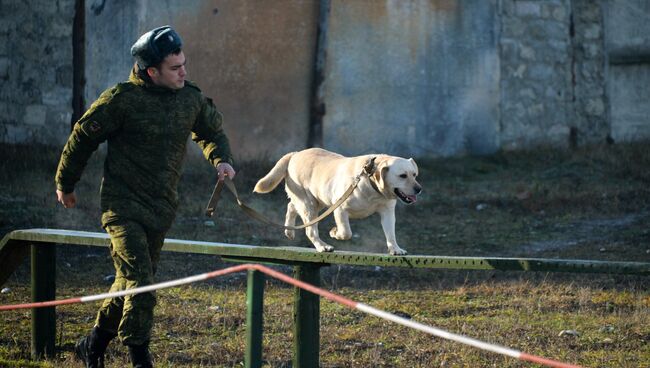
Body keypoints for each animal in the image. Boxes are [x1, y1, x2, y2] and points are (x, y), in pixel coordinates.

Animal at [253, 148, 420, 254]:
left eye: (414, 174)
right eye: (403, 176)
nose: (419, 189)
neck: (370, 181)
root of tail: (295, 154)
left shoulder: (387, 212)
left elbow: (391, 233)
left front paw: (395, 249)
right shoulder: (340, 209)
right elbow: (346, 232)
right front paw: (334, 233)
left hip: (316, 201)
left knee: (291, 206)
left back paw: (289, 231)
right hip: (309, 205)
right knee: (310, 230)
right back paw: (323, 247)